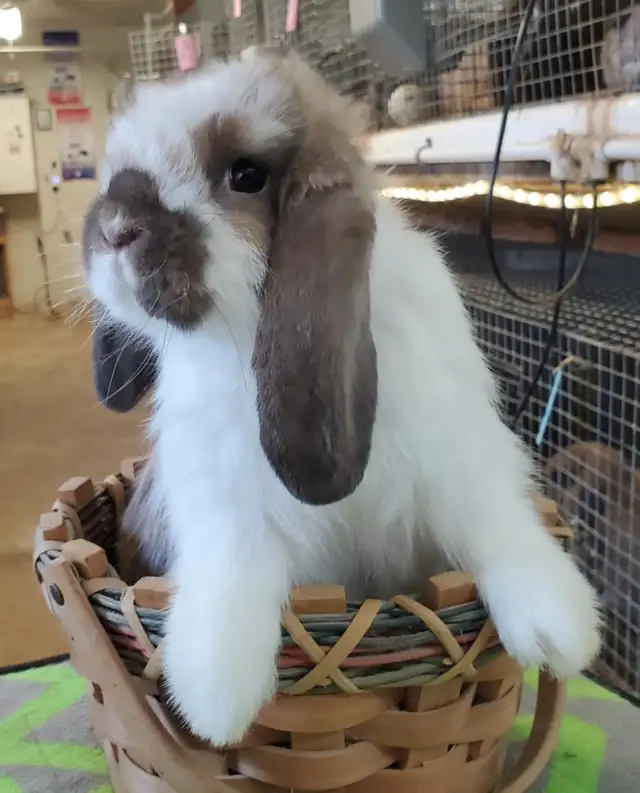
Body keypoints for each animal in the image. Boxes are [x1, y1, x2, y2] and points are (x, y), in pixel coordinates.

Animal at [82, 51, 600, 747]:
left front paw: (557, 629)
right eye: (115, 170)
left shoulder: (459, 461)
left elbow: (495, 525)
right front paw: (216, 699)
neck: (244, 332)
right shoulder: (226, 504)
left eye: (246, 175)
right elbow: (235, 574)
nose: (114, 229)